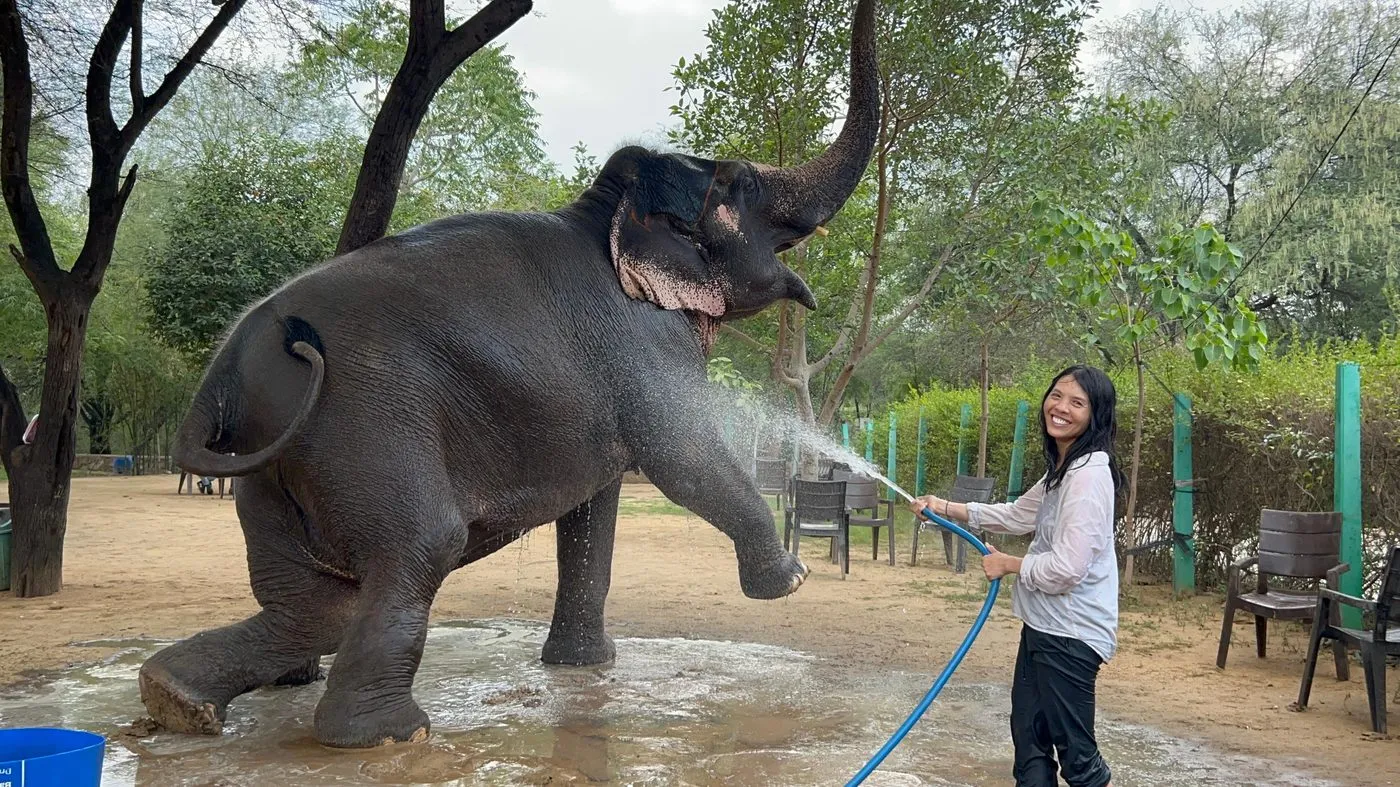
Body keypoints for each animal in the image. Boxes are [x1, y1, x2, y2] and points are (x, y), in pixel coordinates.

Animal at [138, 0, 880, 749]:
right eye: (743, 187)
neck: (609, 213)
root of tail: (224, 376)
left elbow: (597, 505)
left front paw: (585, 667)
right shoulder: (645, 343)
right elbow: (681, 453)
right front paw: (792, 580)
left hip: (271, 464)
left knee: (314, 600)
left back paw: (177, 698)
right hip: (363, 426)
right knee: (418, 546)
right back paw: (391, 734)